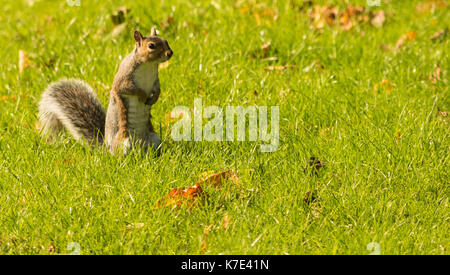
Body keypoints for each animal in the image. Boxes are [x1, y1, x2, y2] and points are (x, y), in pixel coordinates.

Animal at [38, 28, 173, 155]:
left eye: (166, 41)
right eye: (151, 46)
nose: (170, 53)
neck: (149, 65)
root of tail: (107, 149)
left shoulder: (155, 79)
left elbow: (157, 88)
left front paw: (155, 97)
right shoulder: (123, 79)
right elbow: (129, 88)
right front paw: (143, 95)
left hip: (154, 139)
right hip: (124, 143)